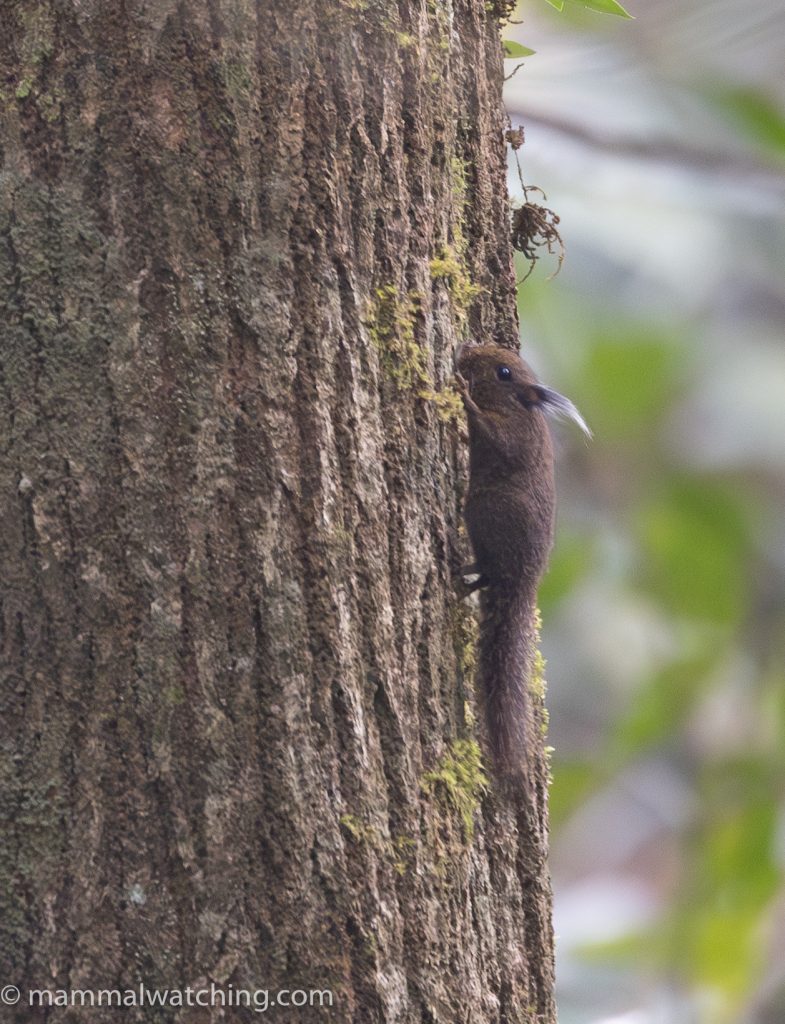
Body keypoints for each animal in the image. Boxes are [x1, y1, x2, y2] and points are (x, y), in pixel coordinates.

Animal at [454, 343, 590, 790]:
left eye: (503, 372)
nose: (466, 348)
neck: (520, 407)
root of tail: (523, 585)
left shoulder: (512, 436)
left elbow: (488, 431)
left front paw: (463, 396)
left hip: (483, 511)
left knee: (489, 568)